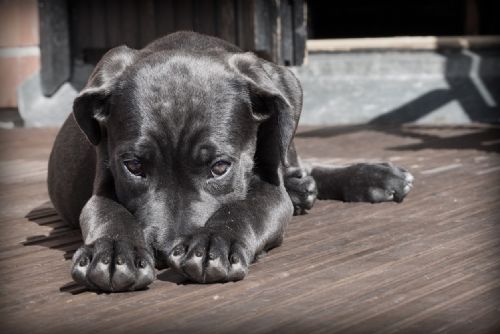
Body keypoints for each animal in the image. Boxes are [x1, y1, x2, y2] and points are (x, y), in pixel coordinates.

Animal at [47, 32, 414, 292]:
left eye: (220, 167)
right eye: (134, 166)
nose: (165, 252)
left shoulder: (270, 190)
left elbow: (245, 207)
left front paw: (214, 243)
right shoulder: (103, 182)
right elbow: (108, 211)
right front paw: (112, 252)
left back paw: (371, 177)